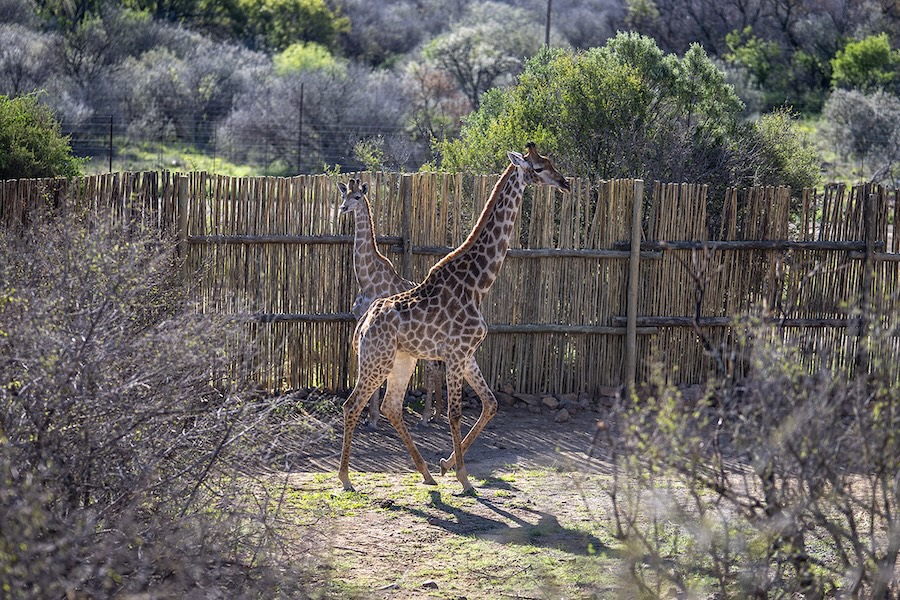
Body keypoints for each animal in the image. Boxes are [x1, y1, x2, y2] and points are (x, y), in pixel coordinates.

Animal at [338, 178, 444, 428]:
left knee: (433, 367)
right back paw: (437, 413)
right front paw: (369, 415)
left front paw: (373, 418)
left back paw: (426, 416)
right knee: (436, 366)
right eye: (344, 194)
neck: (367, 279)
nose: (343, 208)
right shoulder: (361, 321)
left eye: (357, 197)